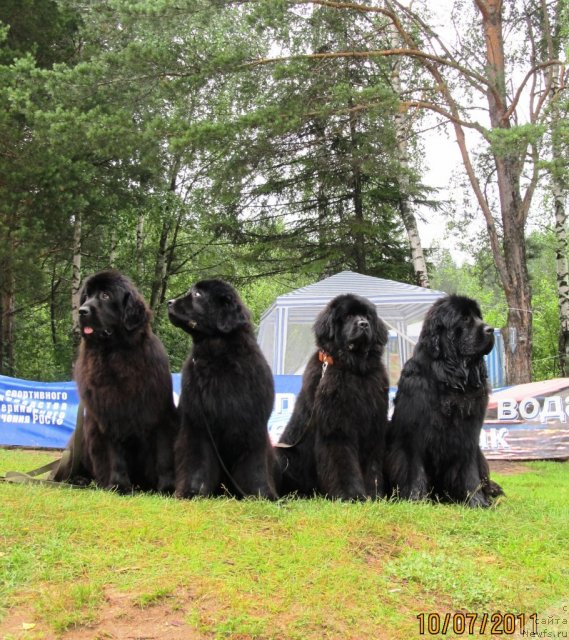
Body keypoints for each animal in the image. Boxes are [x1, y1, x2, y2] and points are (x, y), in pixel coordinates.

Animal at [58, 270, 176, 496]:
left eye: (105, 295)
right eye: (86, 296)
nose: (82, 311)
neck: (114, 356)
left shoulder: (158, 416)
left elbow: (164, 456)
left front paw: (167, 488)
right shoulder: (107, 416)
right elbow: (115, 456)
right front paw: (119, 486)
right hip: (77, 445)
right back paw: (80, 480)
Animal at [168, 278, 276, 498]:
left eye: (197, 294)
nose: (169, 302)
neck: (218, 358)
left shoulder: (253, 425)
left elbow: (256, 466)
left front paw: (262, 494)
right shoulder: (198, 424)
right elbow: (197, 461)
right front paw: (192, 491)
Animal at [276, 294, 390, 500]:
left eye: (367, 316)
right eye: (348, 316)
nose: (363, 324)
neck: (354, 369)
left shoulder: (373, 427)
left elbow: (372, 467)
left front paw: (374, 495)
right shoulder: (337, 428)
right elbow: (343, 464)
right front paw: (351, 495)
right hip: (282, 455)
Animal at [386, 296, 502, 510]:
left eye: (478, 317)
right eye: (464, 318)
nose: (490, 329)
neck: (451, 378)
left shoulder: (469, 435)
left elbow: (470, 473)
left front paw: (477, 502)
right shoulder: (414, 434)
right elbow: (415, 469)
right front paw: (416, 500)